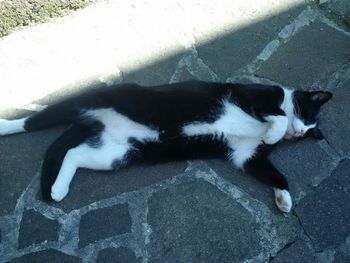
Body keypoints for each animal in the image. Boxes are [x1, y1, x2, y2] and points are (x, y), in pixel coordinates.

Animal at [0, 80, 332, 212]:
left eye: (307, 133)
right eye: (306, 114)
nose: (299, 132)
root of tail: (94, 124)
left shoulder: (246, 155)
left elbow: (275, 174)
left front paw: (284, 200)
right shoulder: (252, 96)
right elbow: (277, 115)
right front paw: (275, 133)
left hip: (115, 153)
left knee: (74, 153)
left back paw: (59, 189)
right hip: (91, 101)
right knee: (35, 121)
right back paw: (6, 126)